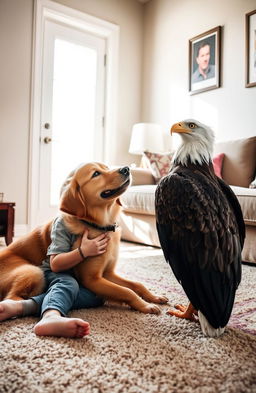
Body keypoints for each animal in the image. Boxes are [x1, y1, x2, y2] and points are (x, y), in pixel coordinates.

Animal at [0, 162, 168, 312]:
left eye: (107, 167)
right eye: (96, 174)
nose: (126, 169)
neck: (98, 225)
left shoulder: (108, 273)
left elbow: (137, 284)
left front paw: (153, 297)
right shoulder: (92, 279)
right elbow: (126, 291)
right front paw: (145, 305)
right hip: (33, 271)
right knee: (12, 297)